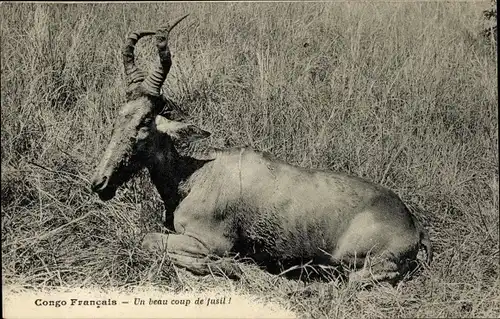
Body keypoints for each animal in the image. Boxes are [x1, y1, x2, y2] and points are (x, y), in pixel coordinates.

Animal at [91, 15, 434, 284]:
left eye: (145, 122)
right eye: (120, 116)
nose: (100, 184)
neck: (198, 175)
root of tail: (413, 226)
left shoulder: (211, 242)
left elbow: (148, 238)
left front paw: (231, 268)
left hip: (358, 263)